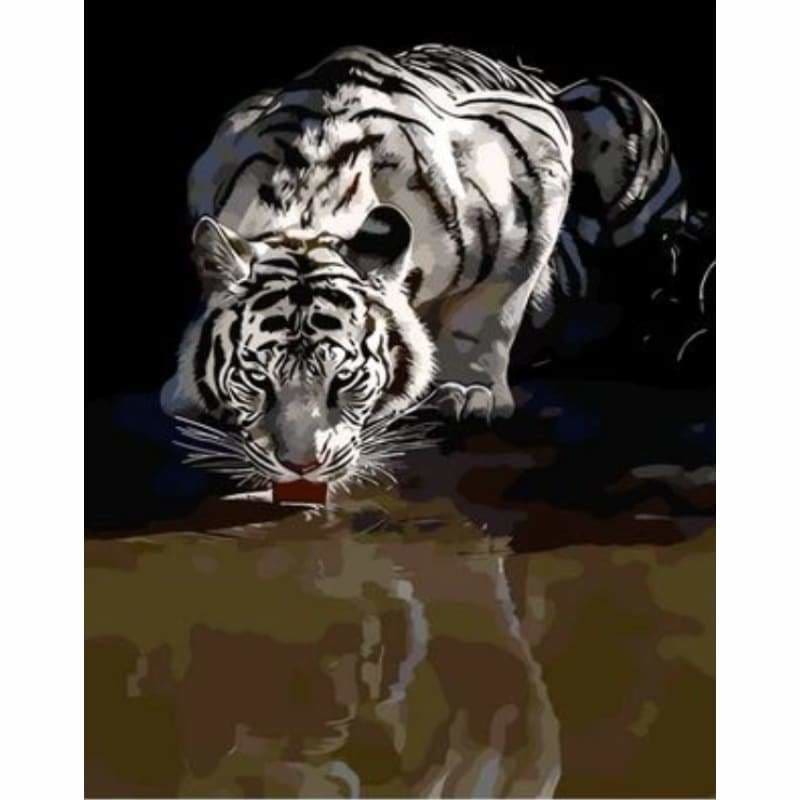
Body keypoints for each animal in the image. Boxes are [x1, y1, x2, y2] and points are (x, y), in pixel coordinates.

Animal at [161, 44, 686, 489]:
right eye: (257, 378)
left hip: (608, 109)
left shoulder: (537, 166)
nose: (301, 466)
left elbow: (489, 314)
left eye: (344, 379)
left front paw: (470, 391)